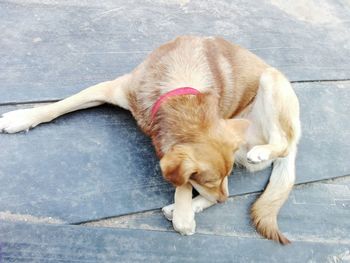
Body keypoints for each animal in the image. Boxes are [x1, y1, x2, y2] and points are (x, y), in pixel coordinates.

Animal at [0, 35, 300, 245]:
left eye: (216, 178)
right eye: (208, 180)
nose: (223, 201)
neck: (181, 90)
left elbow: (180, 182)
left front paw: (183, 214)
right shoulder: (109, 88)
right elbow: (60, 105)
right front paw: (21, 117)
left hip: (272, 82)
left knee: (283, 145)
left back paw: (259, 154)